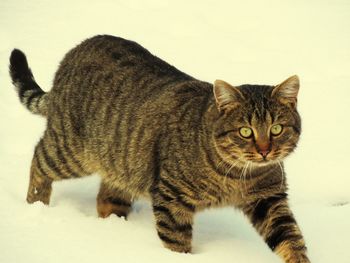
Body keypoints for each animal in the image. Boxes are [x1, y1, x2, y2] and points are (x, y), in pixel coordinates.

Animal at [8, 35, 308, 263]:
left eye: (276, 129)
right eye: (245, 131)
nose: (265, 151)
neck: (236, 176)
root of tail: (74, 51)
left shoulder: (269, 199)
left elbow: (291, 239)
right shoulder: (172, 198)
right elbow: (177, 242)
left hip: (121, 163)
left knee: (107, 196)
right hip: (70, 152)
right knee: (39, 159)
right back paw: (37, 203)